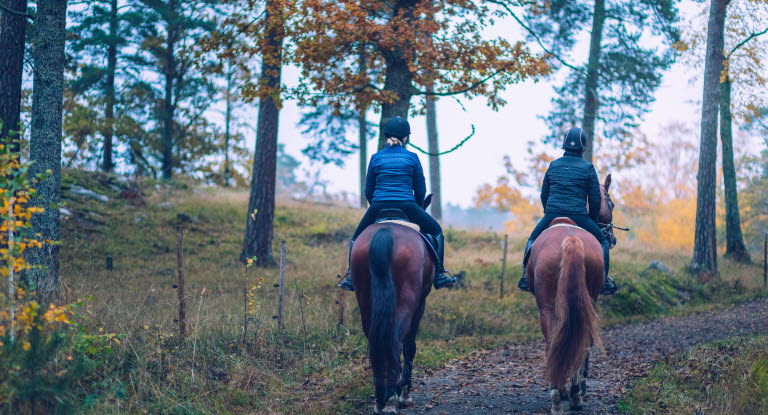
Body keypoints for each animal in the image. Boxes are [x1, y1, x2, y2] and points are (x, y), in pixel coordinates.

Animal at [352, 197, 436, 414]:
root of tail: (385, 232)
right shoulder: (421, 303)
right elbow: (409, 346)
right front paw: (404, 393)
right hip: (408, 299)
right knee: (396, 341)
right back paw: (392, 398)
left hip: (365, 299)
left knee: (377, 342)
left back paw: (380, 399)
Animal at [532, 174, 616, 414]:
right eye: (611, 204)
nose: (612, 239)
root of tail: (570, 238)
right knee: (576, 342)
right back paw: (574, 395)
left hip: (548, 308)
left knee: (553, 342)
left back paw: (559, 396)